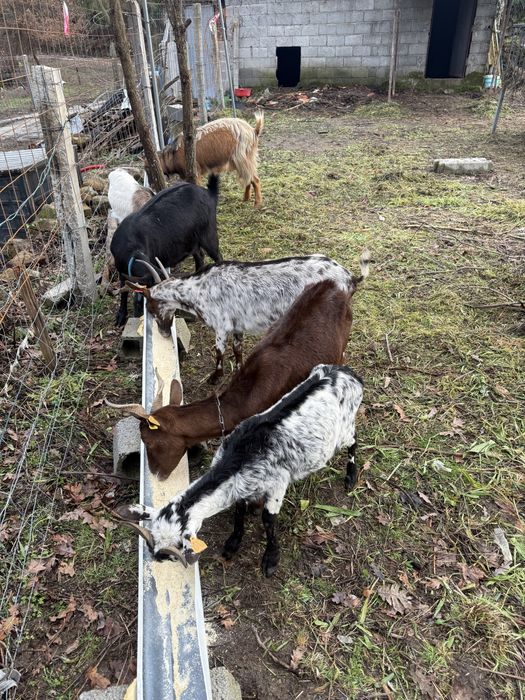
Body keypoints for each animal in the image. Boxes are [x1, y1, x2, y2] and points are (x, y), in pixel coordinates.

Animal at [110, 176, 222, 326]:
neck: (130, 246)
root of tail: (209, 193)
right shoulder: (121, 269)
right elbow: (124, 292)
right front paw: (121, 316)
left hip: (208, 234)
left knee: (218, 256)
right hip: (191, 240)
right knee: (199, 255)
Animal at [118, 364, 364, 576]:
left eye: (173, 550)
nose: (156, 558)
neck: (238, 458)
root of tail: (349, 374)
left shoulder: (278, 484)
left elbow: (268, 520)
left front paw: (270, 560)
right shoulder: (244, 485)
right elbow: (238, 510)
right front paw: (233, 543)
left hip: (343, 430)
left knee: (354, 440)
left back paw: (350, 477)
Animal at [131, 252, 368, 384]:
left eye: (149, 307)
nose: (163, 332)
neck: (197, 289)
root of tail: (350, 278)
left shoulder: (221, 326)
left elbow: (219, 352)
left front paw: (215, 377)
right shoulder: (238, 326)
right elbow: (237, 349)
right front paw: (239, 368)